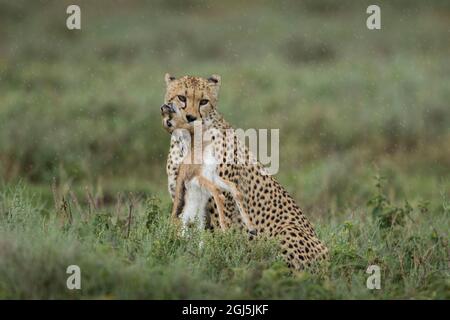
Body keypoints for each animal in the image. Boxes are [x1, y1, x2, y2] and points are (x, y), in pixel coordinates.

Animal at [161, 102, 256, 235]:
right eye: (168, 123)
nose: (164, 106)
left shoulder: (212, 175)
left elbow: (234, 189)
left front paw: (252, 228)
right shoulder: (198, 177)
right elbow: (218, 192)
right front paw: (225, 228)